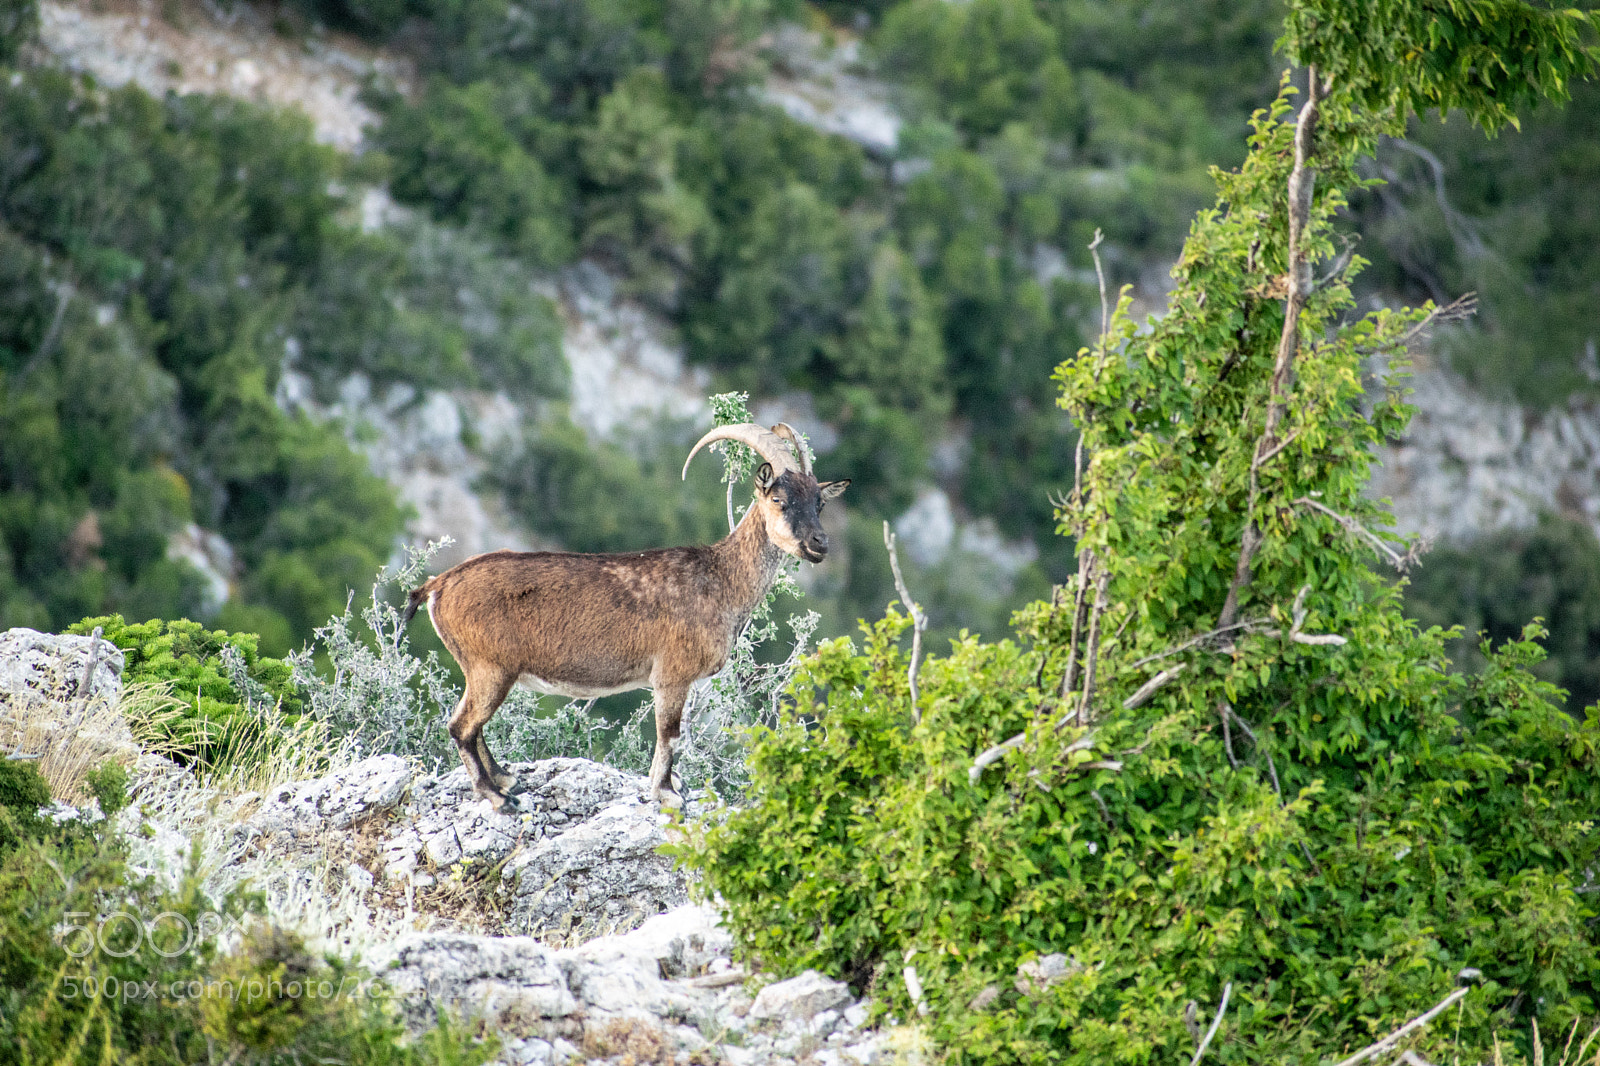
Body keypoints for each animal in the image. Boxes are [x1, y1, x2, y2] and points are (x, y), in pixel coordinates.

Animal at [402, 422, 849, 810]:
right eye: (778, 499)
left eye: (820, 502)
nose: (819, 544)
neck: (720, 580)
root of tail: (438, 585)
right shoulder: (671, 675)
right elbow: (670, 735)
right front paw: (667, 794)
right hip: (490, 667)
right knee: (461, 726)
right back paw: (497, 797)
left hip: (483, 670)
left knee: (470, 725)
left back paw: (507, 779)